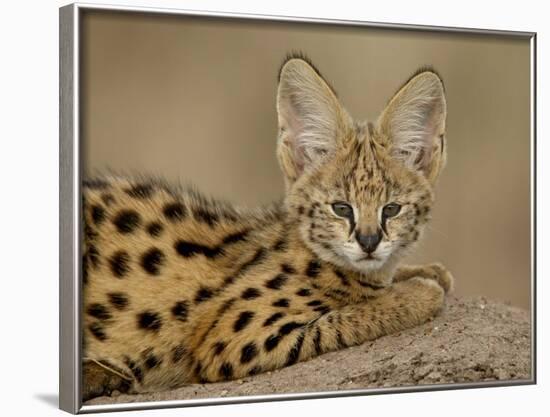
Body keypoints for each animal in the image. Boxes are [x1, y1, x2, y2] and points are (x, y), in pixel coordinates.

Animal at [81, 53, 452, 398]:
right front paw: (417, 293)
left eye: (392, 209)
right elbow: (346, 317)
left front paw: (427, 272)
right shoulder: (233, 339)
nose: (369, 241)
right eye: (341, 208)